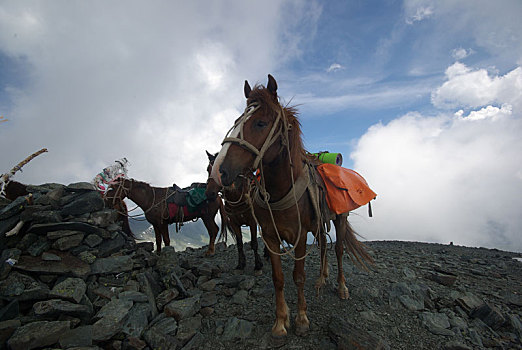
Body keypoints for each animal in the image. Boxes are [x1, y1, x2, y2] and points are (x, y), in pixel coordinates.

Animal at [209, 75, 372, 338]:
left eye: (261, 123)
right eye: (236, 122)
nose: (219, 171)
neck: (279, 192)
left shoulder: (299, 235)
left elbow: (299, 276)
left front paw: (302, 319)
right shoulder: (270, 236)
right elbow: (278, 278)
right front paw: (280, 322)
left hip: (340, 218)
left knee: (338, 250)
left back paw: (341, 287)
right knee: (324, 245)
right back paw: (322, 278)